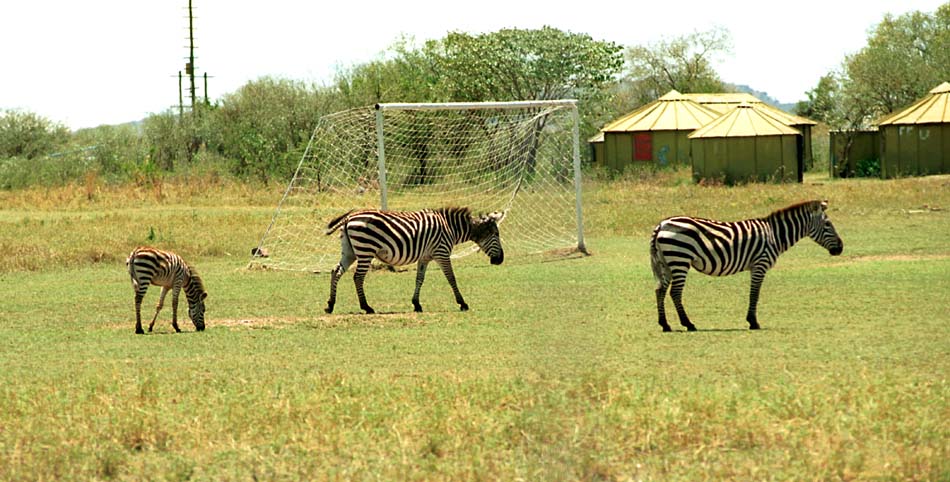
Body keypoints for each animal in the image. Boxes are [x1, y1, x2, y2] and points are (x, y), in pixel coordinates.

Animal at [324, 206, 506, 312]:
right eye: (496, 234)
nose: (500, 260)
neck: (451, 228)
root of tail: (349, 217)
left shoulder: (424, 257)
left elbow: (419, 279)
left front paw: (416, 304)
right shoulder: (442, 253)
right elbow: (451, 278)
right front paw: (462, 303)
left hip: (350, 251)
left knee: (336, 271)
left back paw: (330, 305)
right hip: (365, 250)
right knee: (358, 277)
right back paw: (366, 307)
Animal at [652, 200, 844, 332]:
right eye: (828, 224)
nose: (841, 248)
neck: (775, 235)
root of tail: (662, 224)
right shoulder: (760, 264)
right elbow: (755, 294)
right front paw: (753, 322)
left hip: (666, 263)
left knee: (660, 291)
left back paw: (665, 324)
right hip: (680, 259)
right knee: (675, 292)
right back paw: (688, 324)